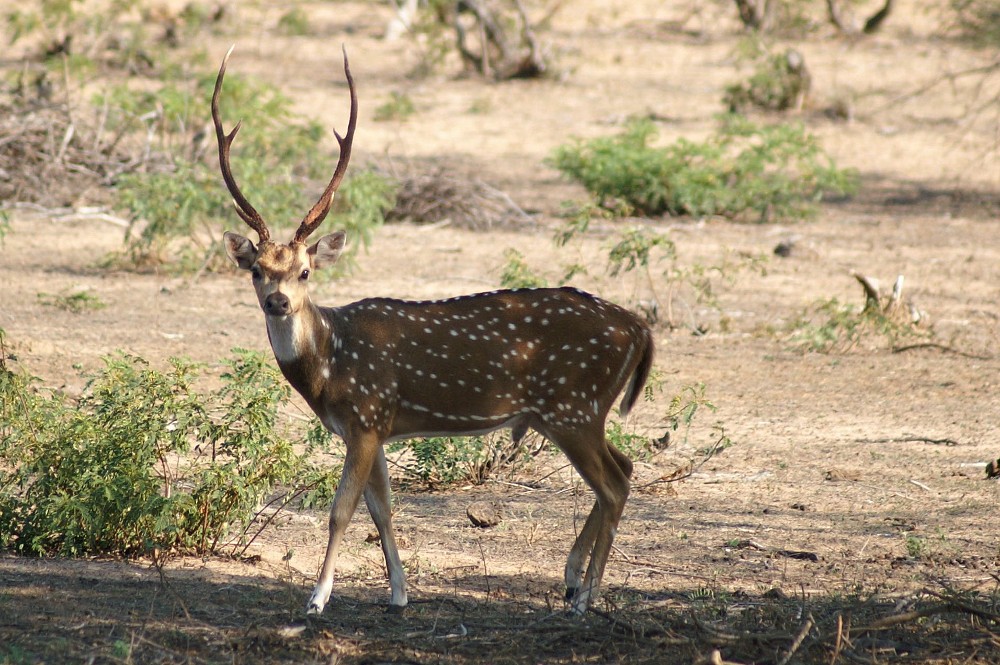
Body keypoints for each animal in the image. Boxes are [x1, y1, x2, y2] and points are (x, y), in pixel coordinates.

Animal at [211, 45, 656, 616]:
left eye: (305, 271)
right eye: (257, 269)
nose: (278, 301)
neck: (330, 366)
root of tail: (638, 327)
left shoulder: (367, 413)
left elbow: (340, 510)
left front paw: (317, 599)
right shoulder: (374, 426)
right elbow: (382, 510)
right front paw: (399, 594)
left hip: (574, 405)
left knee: (614, 485)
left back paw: (585, 596)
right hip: (573, 412)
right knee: (625, 466)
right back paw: (572, 579)